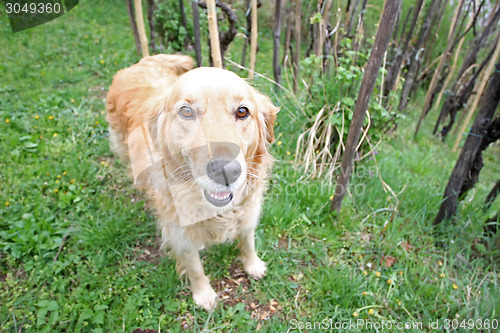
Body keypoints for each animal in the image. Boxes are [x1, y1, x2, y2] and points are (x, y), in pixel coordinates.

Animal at [105, 53, 278, 310]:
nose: (226, 171)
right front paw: (203, 295)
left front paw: (253, 265)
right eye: (186, 111)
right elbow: (195, 267)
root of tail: (142, 62)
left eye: (242, 111)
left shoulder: (249, 209)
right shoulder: (180, 234)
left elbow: (248, 240)